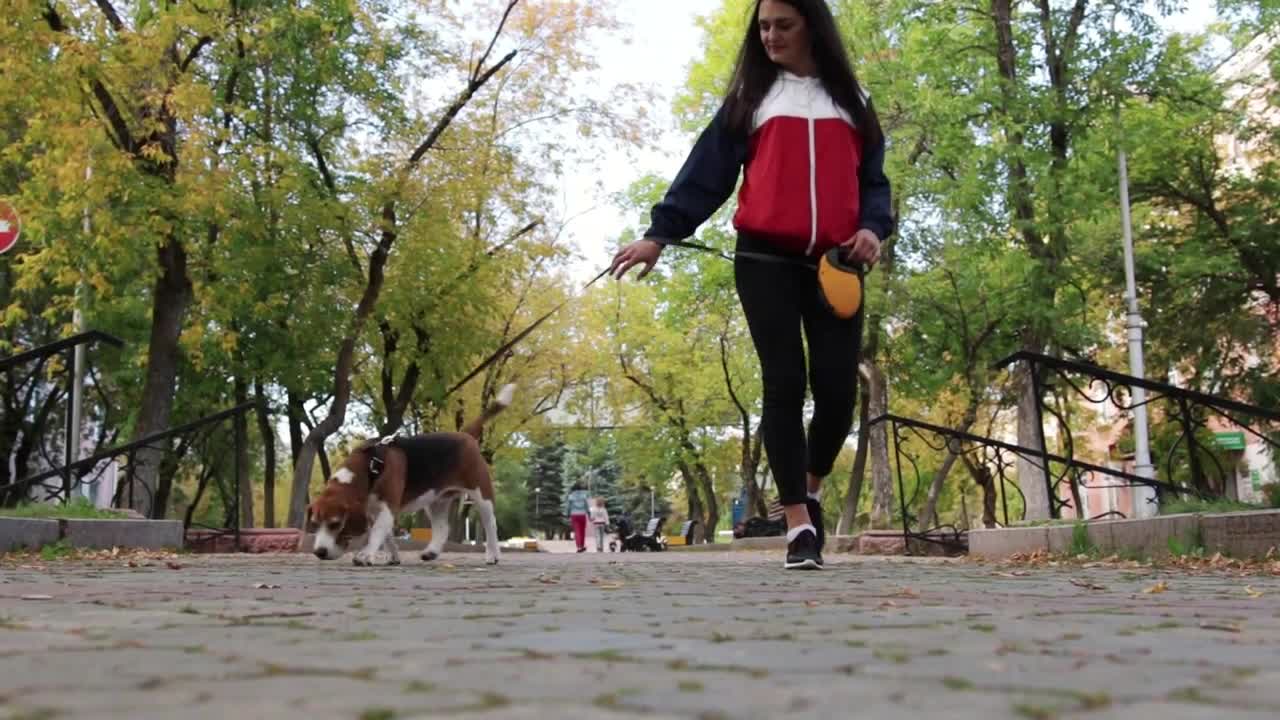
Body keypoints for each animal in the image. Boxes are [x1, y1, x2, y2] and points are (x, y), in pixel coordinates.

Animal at [307, 384, 512, 563]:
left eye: (335, 524)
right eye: (315, 524)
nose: (319, 552)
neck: (369, 470)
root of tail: (466, 435)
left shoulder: (387, 507)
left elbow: (377, 533)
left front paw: (366, 555)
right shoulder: (374, 510)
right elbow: (387, 536)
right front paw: (393, 557)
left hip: (481, 494)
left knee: (491, 524)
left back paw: (493, 555)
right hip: (437, 500)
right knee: (442, 528)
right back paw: (431, 552)